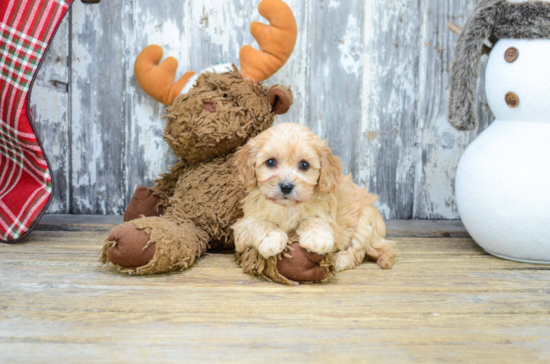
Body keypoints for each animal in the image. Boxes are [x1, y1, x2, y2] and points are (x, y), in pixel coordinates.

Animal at [233, 123, 396, 272]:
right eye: (270, 162)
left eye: (304, 165)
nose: (286, 186)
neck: (287, 208)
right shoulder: (242, 228)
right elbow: (259, 224)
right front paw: (271, 239)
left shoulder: (330, 220)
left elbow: (315, 220)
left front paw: (317, 239)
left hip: (366, 220)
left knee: (357, 251)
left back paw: (338, 260)